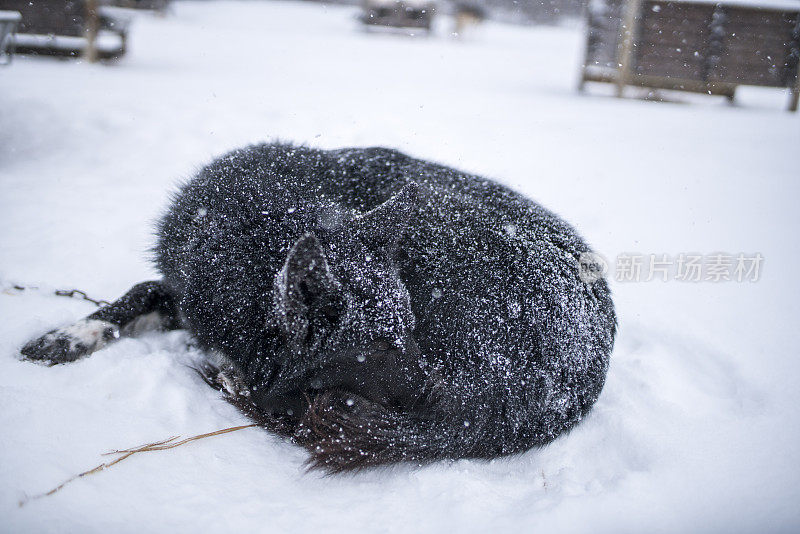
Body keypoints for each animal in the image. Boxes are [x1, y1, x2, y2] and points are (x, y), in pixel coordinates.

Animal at [20, 142, 620, 474]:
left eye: (411, 329)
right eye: (380, 348)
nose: (438, 394)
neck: (257, 227)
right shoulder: (189, 294)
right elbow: (142, 291)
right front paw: (71, 333)